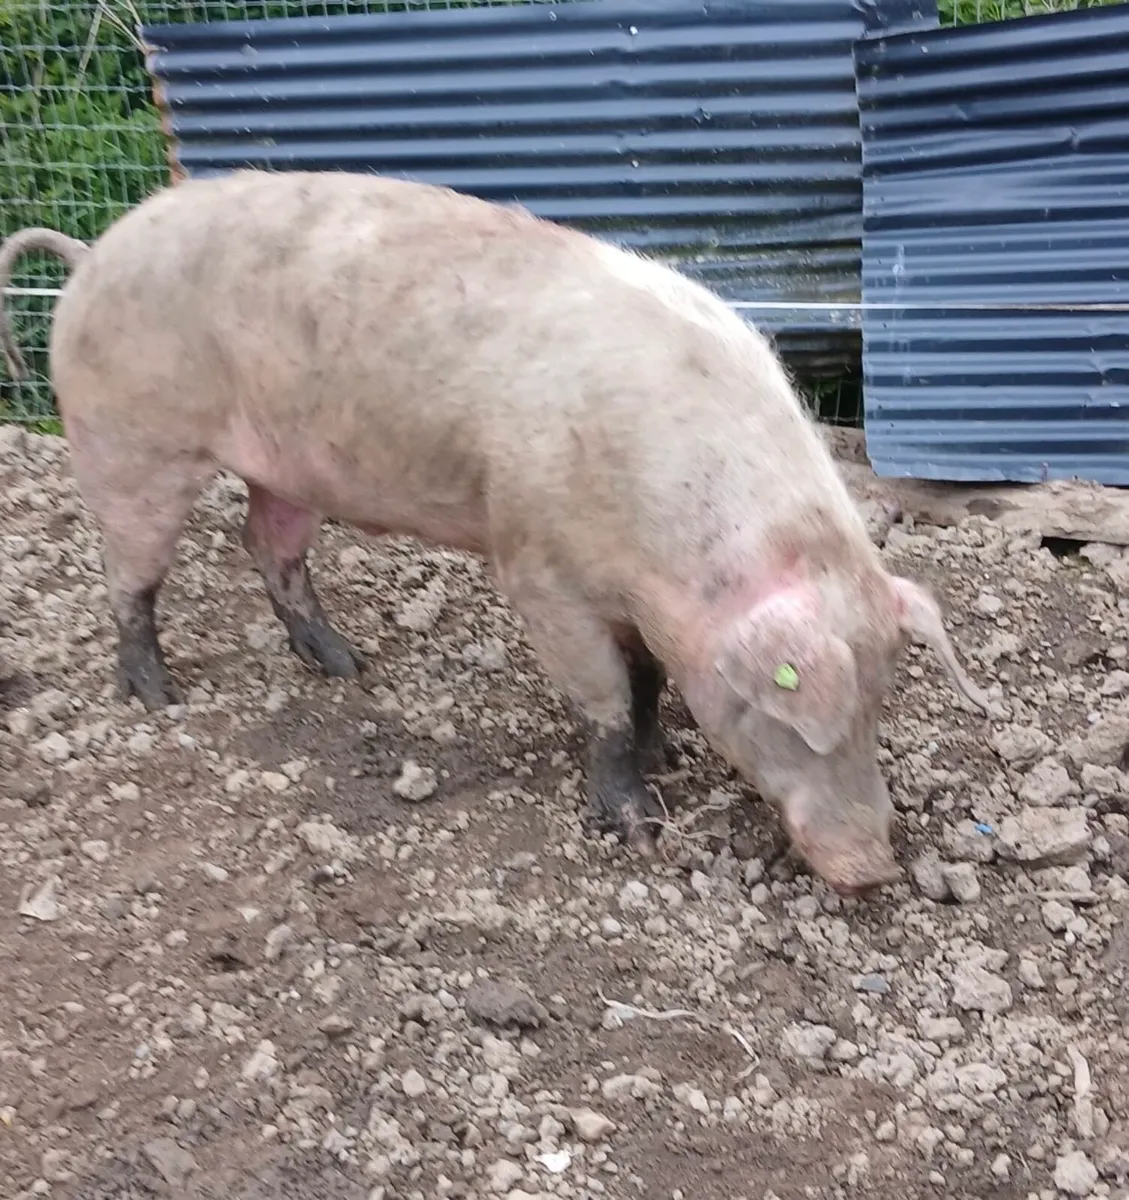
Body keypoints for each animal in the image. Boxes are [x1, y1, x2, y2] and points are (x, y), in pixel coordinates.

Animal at [0, 169, 989, 894]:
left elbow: (646, 679)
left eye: (879, 704)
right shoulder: (537, 569)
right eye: (802, 720)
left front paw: (665, 746)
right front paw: (638, 826)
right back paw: (157, 695)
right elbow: (602, 698)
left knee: (268, 546)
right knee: (129, 570)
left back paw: (347, 665)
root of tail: (91, 253)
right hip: (129, 438)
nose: (872, 868)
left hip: (286, 467)